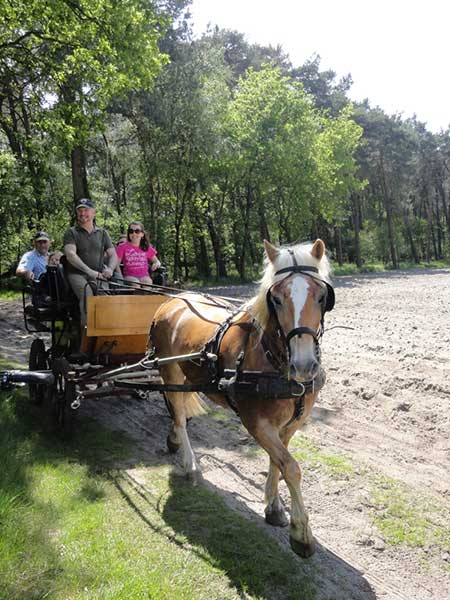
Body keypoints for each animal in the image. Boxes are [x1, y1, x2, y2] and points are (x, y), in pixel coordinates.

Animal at [150, 239, 334, 556]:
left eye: (322, 296)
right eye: (276, 299)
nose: (304, 365)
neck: (274, 361)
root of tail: (172, 300)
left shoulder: (291, 424)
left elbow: (278, 462)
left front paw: (274, 507)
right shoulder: (256, 422)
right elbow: (291, 467)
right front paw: (301, 533)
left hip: (187, 375)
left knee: (178, 410)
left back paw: (174, 440)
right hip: (169, 369)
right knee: (179, 416)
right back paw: (190, 464)